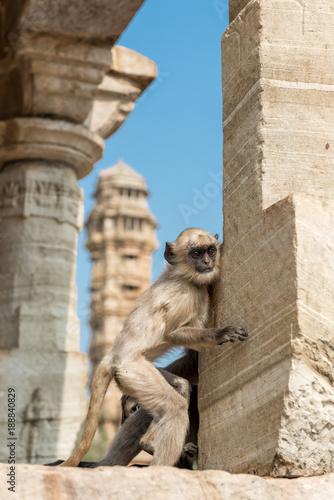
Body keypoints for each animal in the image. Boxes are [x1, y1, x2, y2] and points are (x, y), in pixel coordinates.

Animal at [60, 229, 248, 466]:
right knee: (174, 407)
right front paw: (222, 334)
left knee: (181, 387)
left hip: (132, 375)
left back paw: (148, 441)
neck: (183, 276)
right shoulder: (186, 293)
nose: (207, 262)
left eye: (211, 250)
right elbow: (174, 333)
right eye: (196, 253)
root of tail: (112, 356)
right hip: (133, 371)